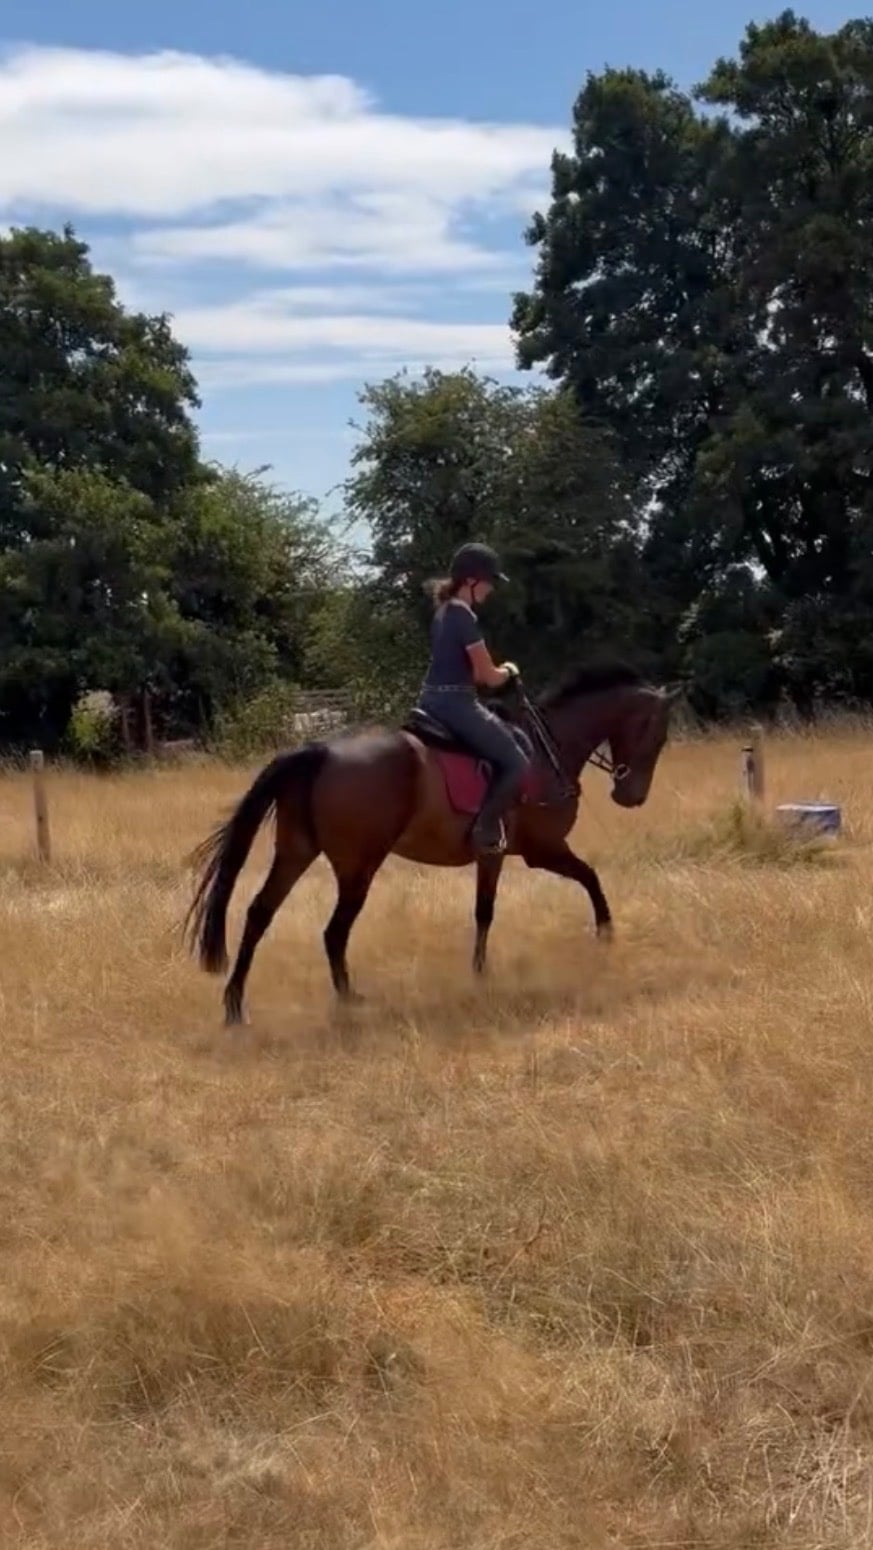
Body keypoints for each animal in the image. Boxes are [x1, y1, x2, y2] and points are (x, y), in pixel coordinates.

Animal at [185, 662, 679, 1022]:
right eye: (657, 734)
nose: (631, 796)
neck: (547, 749)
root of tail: (320, 750)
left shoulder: (494, 855)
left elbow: (484, 912)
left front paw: (480, 974)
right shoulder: (541, 851)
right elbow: (588, 879)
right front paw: (606, 935)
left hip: (296, 853)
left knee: (259, 913)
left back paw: (235, 1005)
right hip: (358, 866)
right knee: (334, 931)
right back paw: (347, 1000)